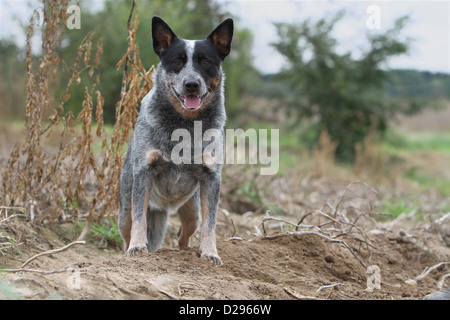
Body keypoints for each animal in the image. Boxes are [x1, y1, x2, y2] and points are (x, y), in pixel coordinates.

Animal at [118, 15, 234, 264]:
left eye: (206, 61)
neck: (185, 125)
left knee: (184, 235)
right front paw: (137, 247)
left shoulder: (211, 178)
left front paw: (210, 253)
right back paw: (126, 250)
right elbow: (139, 218)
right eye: (177, 61)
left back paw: (187, 253)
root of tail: (164, 206)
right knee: (127, 229)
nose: (192, 84)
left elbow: (211, 224)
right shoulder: (144, 172)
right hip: (124, 211)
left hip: (192, 211)